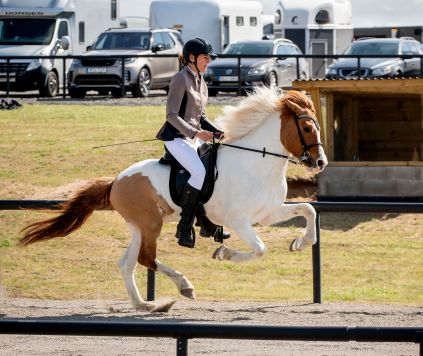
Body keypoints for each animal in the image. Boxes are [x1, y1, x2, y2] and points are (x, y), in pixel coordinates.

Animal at [19, 87, 330, 312]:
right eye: (306, 128)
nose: (320, 163)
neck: (257, 162)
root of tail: (116, 181)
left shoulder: (267, 214)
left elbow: (308, 210)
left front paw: (300, 243)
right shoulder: (238, 221)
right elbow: (261, 249)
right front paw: (225, 253)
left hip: (138, 226)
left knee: (127, 263)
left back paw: (145, 305)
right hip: (151, 224)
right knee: (146, 257)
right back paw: (183, 286)